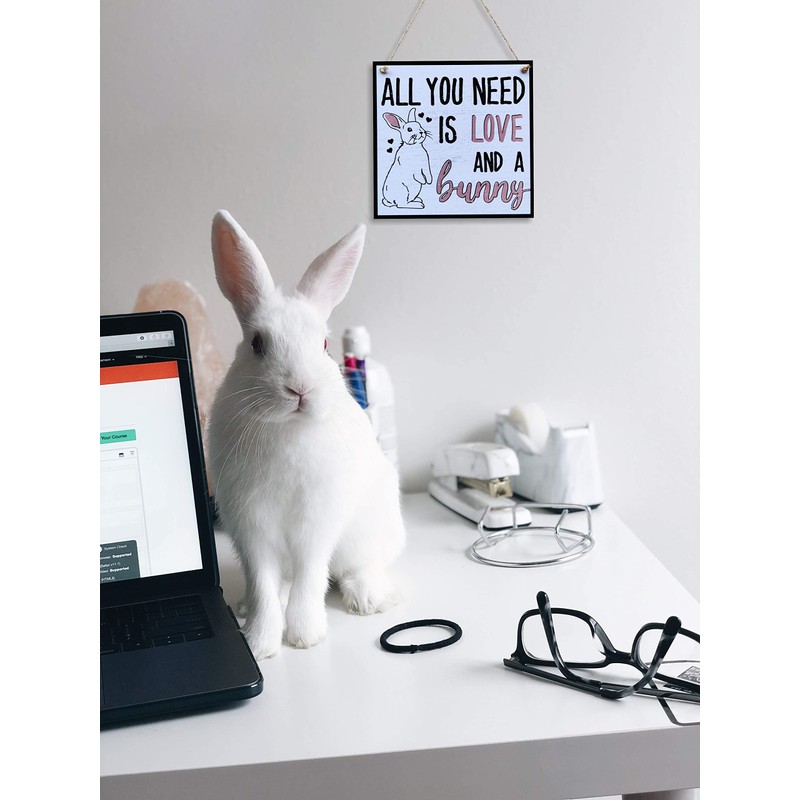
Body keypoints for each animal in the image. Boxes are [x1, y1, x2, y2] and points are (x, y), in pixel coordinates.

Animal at [207, 211, 406, 660]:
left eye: (326, 343)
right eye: (257, 343)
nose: (299, 389)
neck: (287, 427)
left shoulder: (316, 523)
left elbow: (311, 578)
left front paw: (304, 636)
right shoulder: (252, 528)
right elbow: (264, 586)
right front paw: (260, 643)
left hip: (367, 532)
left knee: (360, 566)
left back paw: (369, 598)